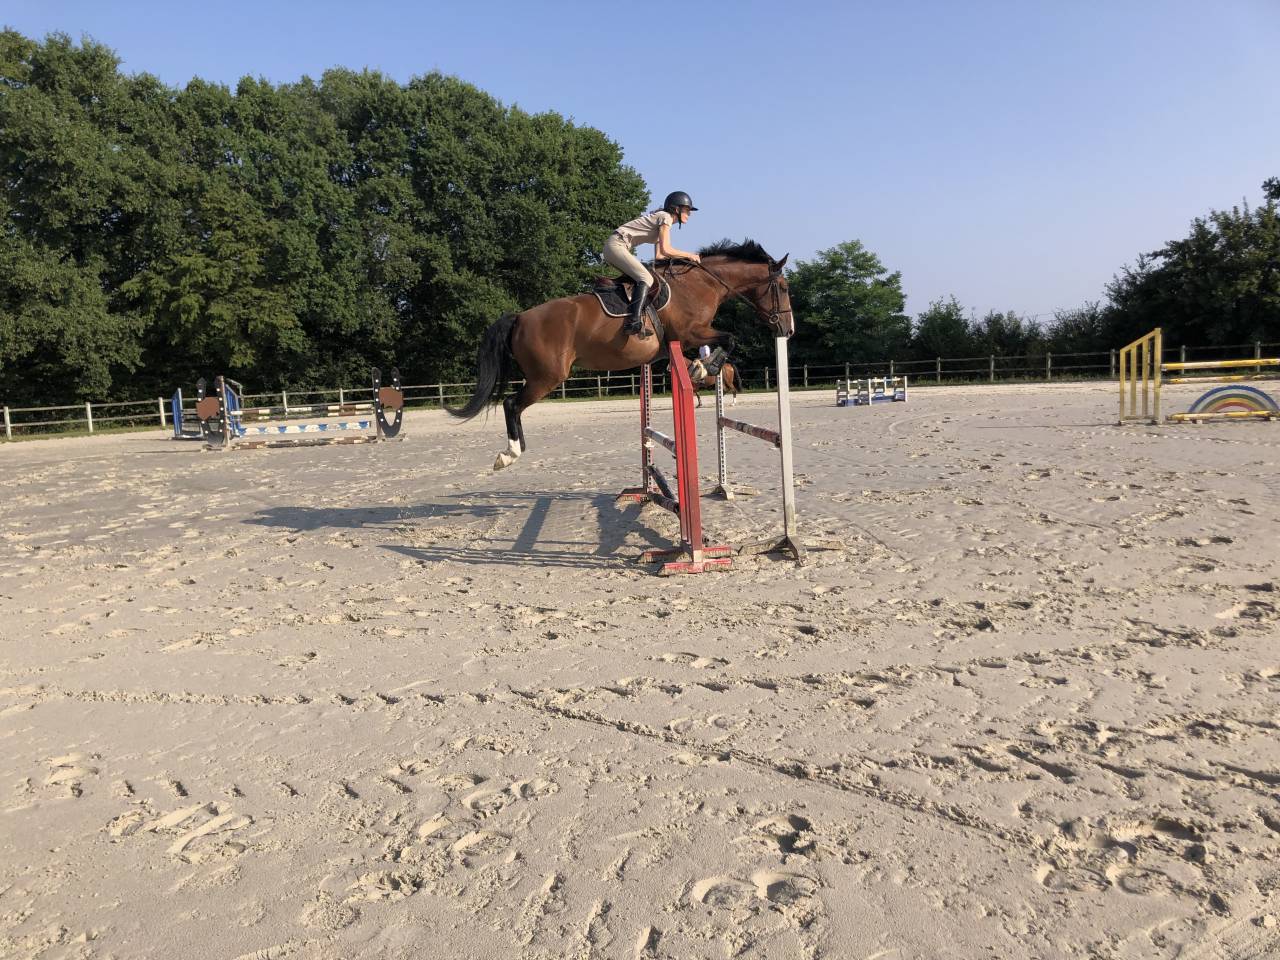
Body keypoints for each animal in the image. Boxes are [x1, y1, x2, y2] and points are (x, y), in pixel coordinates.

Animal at [448, 239, 792, 470]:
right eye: (784, 287)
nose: (788, 330)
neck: (701, 283)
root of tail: (520, 316)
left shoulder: (675, 344)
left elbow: (713, 348)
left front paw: (699, 366)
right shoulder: (691, 333)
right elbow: (730, 338)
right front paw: (704, 368)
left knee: (513, 405)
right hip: (547, 377)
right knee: (511, 404)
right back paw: (509, 454)